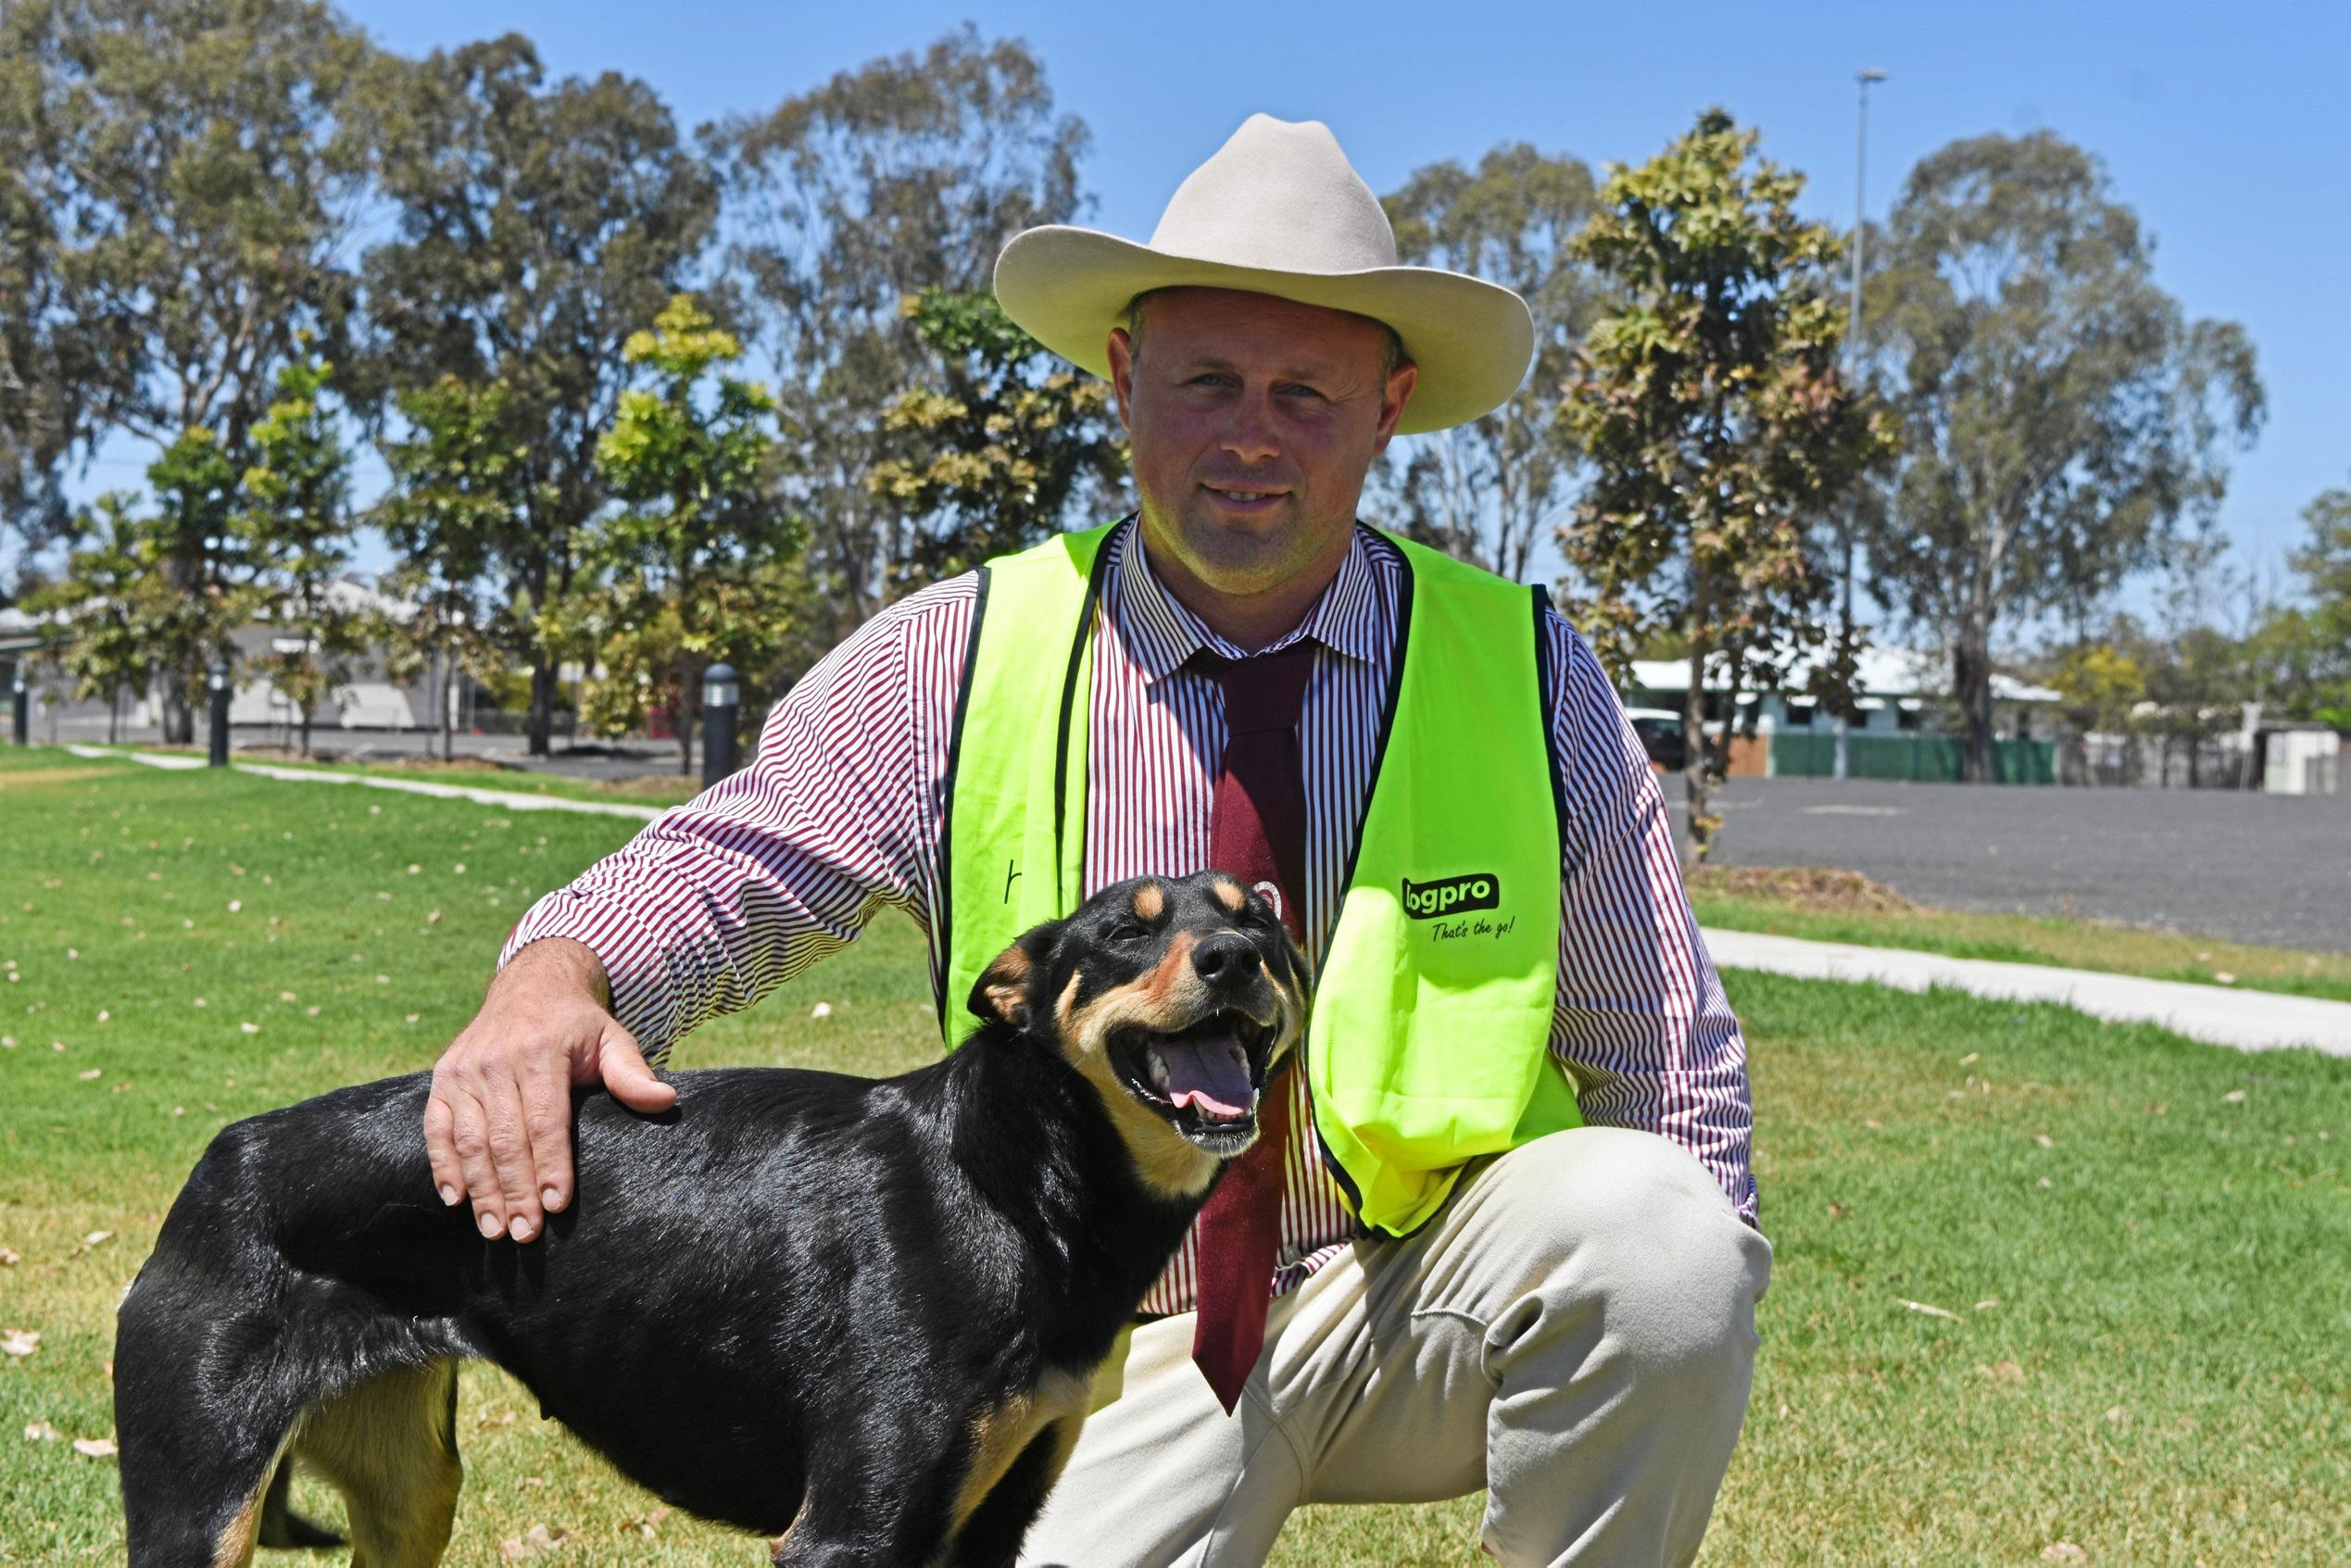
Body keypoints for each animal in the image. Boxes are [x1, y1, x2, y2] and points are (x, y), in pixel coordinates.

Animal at [114, 870, 1307, 1568]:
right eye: (1123, 936)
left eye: (1260, 916)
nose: (1235, 958)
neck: (1009, 1179)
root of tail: (218, 1160)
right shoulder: (851, 1529)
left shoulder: (990, 1523)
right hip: (198, 1507)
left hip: (411, 1492)